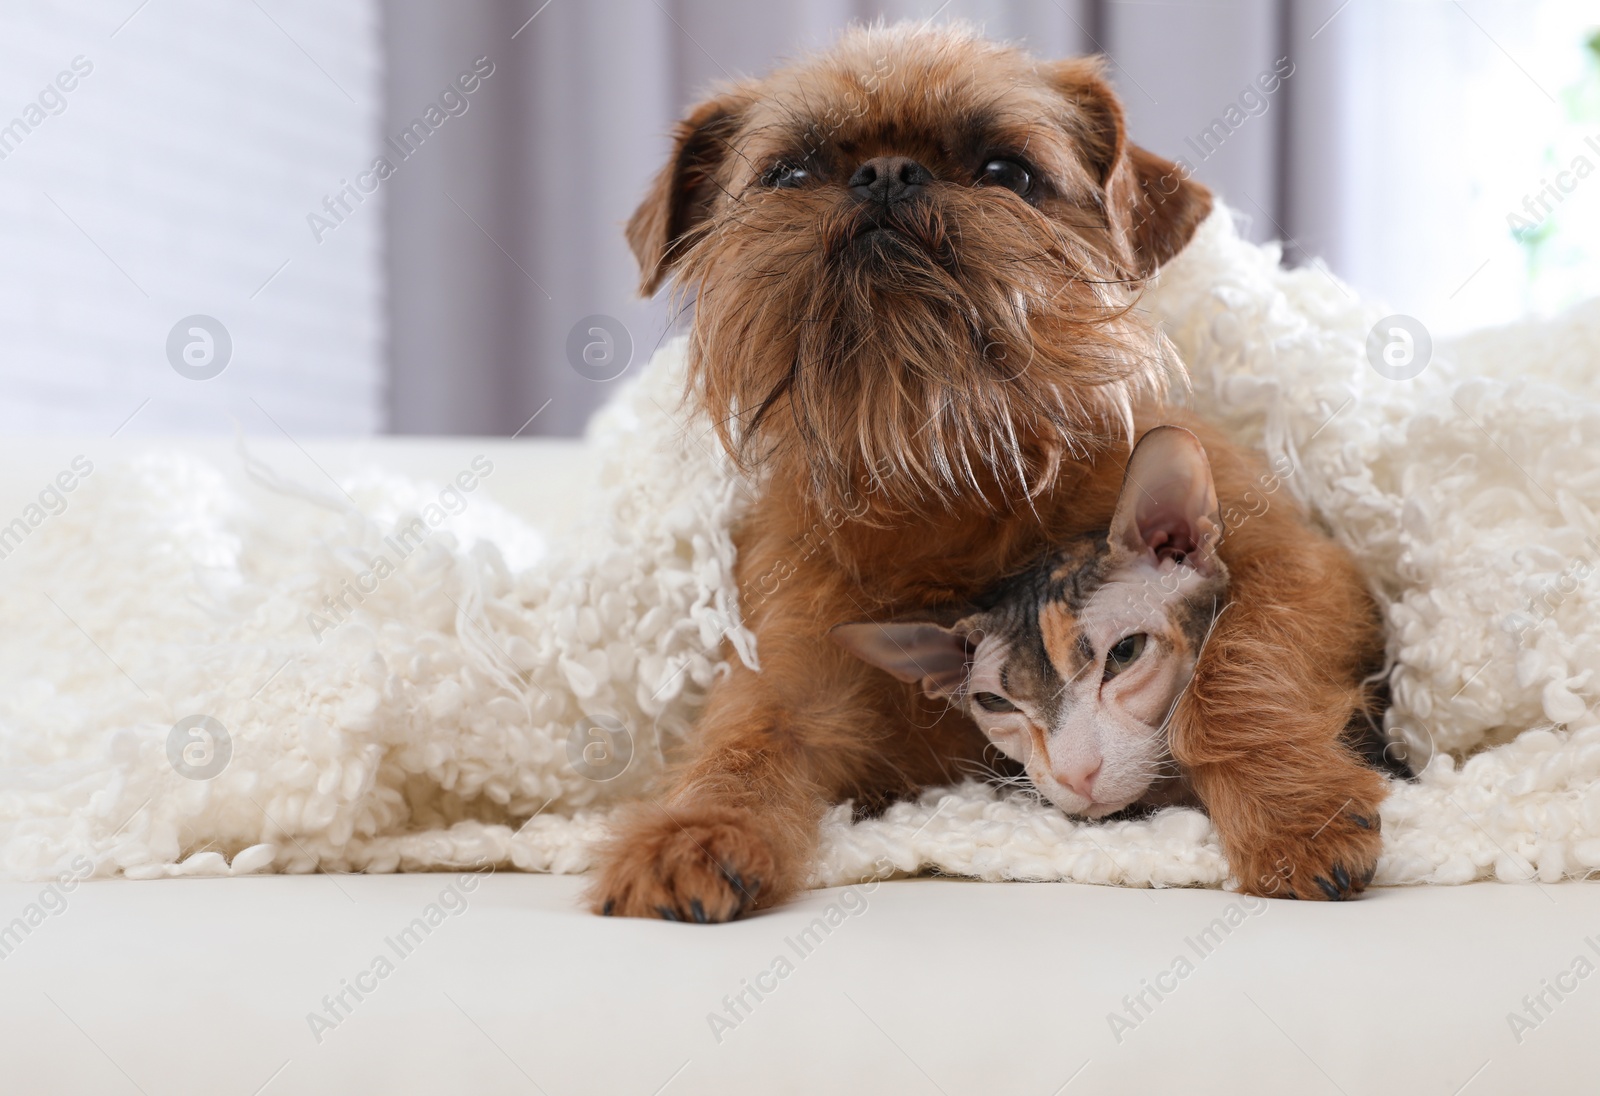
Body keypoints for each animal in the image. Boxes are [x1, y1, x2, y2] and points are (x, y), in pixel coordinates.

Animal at [588, 21, 1388, 921]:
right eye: (789, 173)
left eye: (1008, 171)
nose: (887, 172)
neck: (946, 470)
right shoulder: (789, 668)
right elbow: (745, 736)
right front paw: (693, 829)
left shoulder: (1298, 570)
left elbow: (1239, 670)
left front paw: (1293, 811)